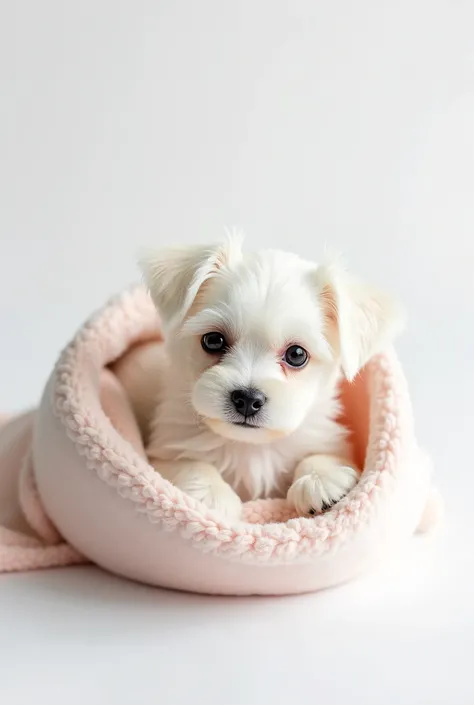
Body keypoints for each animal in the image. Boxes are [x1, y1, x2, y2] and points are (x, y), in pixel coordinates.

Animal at [139, 236, 402, 516]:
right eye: (212, 340)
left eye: (297, 354)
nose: (247, 398)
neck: (250, 446)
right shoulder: (164, 451)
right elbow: (188, 464)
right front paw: (211, 495)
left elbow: (320, 455)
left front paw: (322, 480)